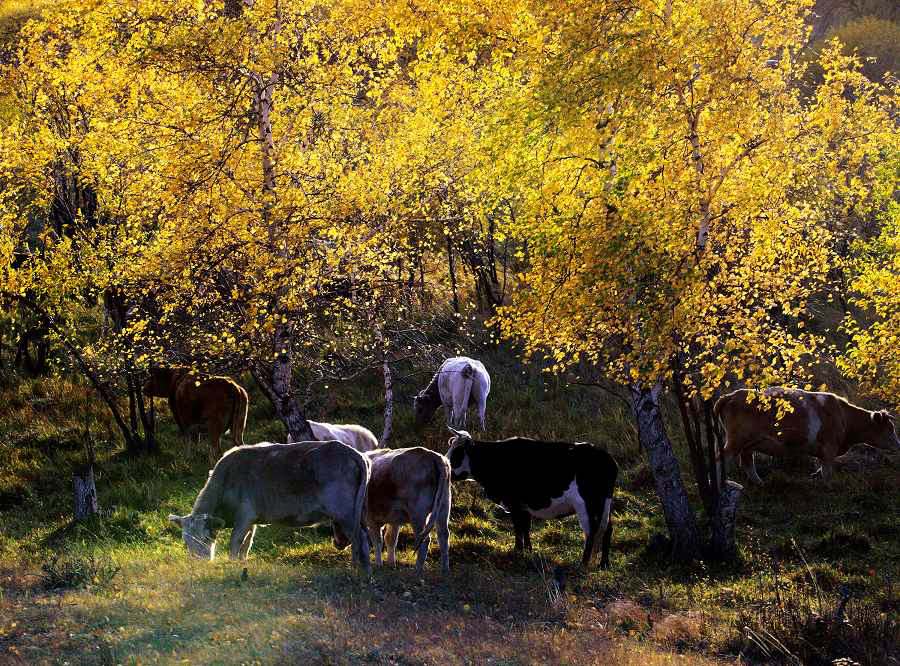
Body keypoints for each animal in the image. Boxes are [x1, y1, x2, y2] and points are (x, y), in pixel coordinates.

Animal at [167, 438, 370, 572]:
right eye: (186, 541)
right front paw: (242, 563)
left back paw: (361, 571)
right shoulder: (252, 521)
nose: (198, 564)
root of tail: (352, 452)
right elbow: (246, 545)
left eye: (206, 538)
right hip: (355, 514)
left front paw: (232, 565)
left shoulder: (244, 516)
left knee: (360, 538)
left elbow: (235, 543)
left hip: (344, 513)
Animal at [444, 430, 620, 564]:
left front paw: (517, 550)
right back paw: (604, 563)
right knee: (607, 529)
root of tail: (607, 458)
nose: (445, 467)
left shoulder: (515, 503)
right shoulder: (523, 507)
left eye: (457, 453)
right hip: (605, 504)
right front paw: (528, 550)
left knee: (592, 531)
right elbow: (525, 527)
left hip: (588, 504)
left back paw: (583, 563)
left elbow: (518, 528)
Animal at [716, 384, 900, 482]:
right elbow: (827, 472)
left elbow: (821, 467)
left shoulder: (824, 451)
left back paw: (759, 482)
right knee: (722, 457)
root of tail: (731, 395)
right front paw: (828, 486)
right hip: (735, 440)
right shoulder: (829, 447)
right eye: (890, 429)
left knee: (747, 461)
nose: (899, 445)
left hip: (749, 443)